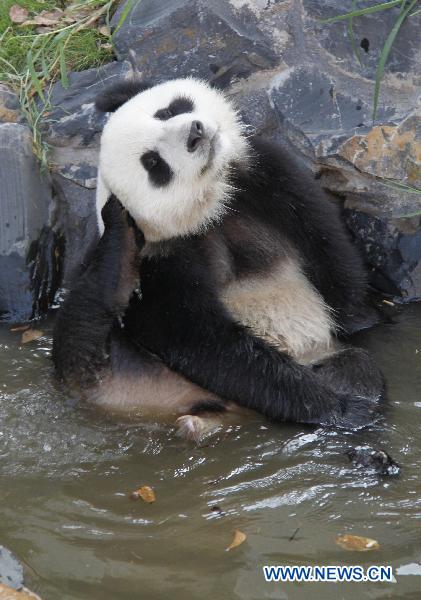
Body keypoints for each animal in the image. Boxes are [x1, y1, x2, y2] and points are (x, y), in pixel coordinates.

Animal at [50, 76, 382, 440]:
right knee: (81, 336)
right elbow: (203, 341)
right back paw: (116, 231)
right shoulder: (161, 262)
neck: (214, 206)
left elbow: (335, 263)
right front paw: (339, 408)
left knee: (354, 362)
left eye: (167, 111)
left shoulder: (272, 180)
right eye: (153, 164)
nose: (195, 133)